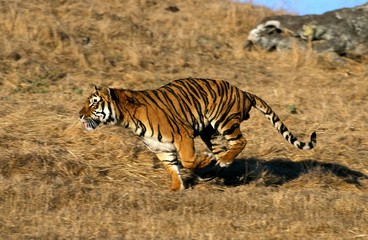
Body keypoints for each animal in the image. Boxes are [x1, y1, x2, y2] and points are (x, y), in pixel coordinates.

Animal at [78, 78, 316, 190]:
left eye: (94, 103)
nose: (80, 115)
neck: (126, 117)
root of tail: (243, 91)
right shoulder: (161, 149)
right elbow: (173, 169)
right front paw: (176, 189)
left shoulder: (182, 135)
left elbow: (188, 160)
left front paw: (202, 161)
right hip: (211, 133)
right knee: (225, 149)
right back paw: (217, 169)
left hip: (224, 121)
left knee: (241, 141)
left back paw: (219, 162)